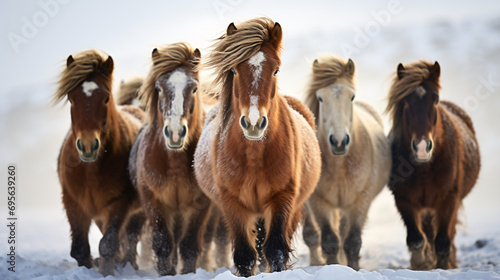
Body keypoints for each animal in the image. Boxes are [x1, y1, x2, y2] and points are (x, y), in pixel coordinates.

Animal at [55, 49, 147, 274]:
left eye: (106, 99)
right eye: (71, 99)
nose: (88, 146)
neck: (90, 170)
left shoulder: (119, 204)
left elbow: (108, 244)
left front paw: (108, 272)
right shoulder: (73, 203)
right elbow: (80, 249)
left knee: (131, 237)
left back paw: (129, 264)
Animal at [128, 42, 212, 276]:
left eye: (194, 88)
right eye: (158, 88)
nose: (175, 133)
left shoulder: (199, 204)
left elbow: (189, 245)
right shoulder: (154, 201)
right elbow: (163, 243)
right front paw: (167, 272)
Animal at [193, 18, 322, 278]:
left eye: (276, 69)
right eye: (233, 70)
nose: (253, 123)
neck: (254, 157)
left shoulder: (282, 199)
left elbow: (276, 250)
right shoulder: (233, 204)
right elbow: (245, 256)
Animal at [300, 54, 390, 270]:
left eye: (352, 97)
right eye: (320, 98)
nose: (339, 141)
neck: (341, 165)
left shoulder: (360, 202)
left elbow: (353, 241)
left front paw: (353, 269)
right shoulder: (319, 203)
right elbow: (330, 240)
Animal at [386, 59, 480, 270]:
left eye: (435, 99)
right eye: (404, 101)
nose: (422, 147)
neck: (424, 169)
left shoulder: (449, 199)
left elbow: (443, 241)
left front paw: (443, 267)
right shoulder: (403, 199)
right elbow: (416, 239)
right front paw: (421, 263)